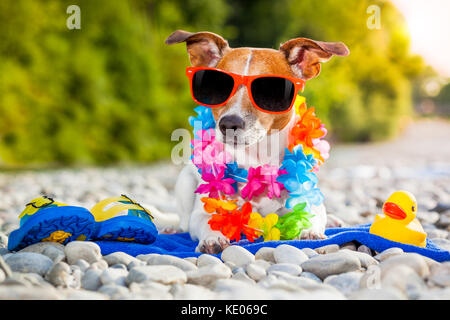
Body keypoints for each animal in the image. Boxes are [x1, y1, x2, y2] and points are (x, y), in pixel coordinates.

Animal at [164, 30, 348, 255]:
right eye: (217, 86)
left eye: (270, 90)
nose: (229, 123)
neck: (256, 158)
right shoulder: (201, 212)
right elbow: (206, 220)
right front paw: (212, 237)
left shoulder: (306, 201)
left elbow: (310, 215)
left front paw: (309, 230)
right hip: (185, 181)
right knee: (183, 220)